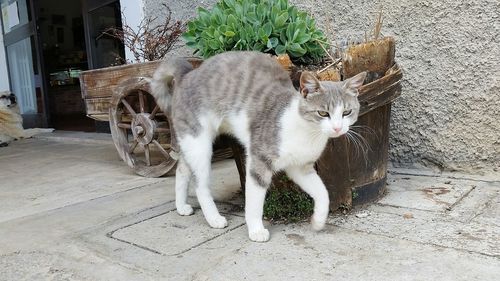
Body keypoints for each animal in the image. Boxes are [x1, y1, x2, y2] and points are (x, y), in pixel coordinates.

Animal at [150, 51, 366, 242]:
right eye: (323, 113)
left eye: (347, 112)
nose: (337, 128)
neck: (307, 133)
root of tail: (188, 74)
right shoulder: (259, 161)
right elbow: (254, 200)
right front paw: (256, 230)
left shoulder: (300, 168)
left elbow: (323, 192)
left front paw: (319, 220)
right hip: (199, 143)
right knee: (200, 185)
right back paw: (214, 219)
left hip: (190, 143)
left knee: (182, 169)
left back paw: (181, 207)